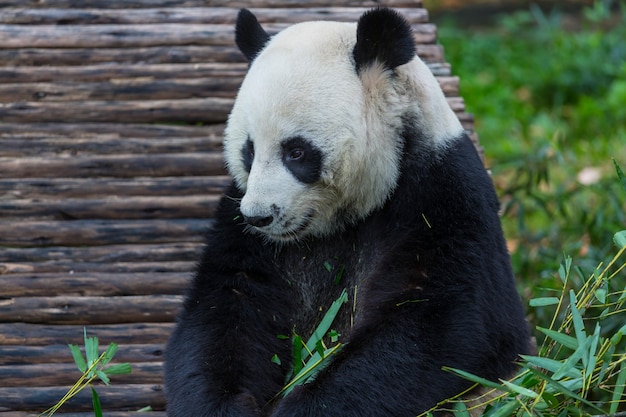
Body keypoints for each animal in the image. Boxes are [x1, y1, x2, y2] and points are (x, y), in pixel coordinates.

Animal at [163, 7, 528, 416]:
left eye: (296, 152)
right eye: (249, 150)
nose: (259, 217)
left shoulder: (443, 194)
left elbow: (444, 323)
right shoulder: (239, 225)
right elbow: (225, 308)